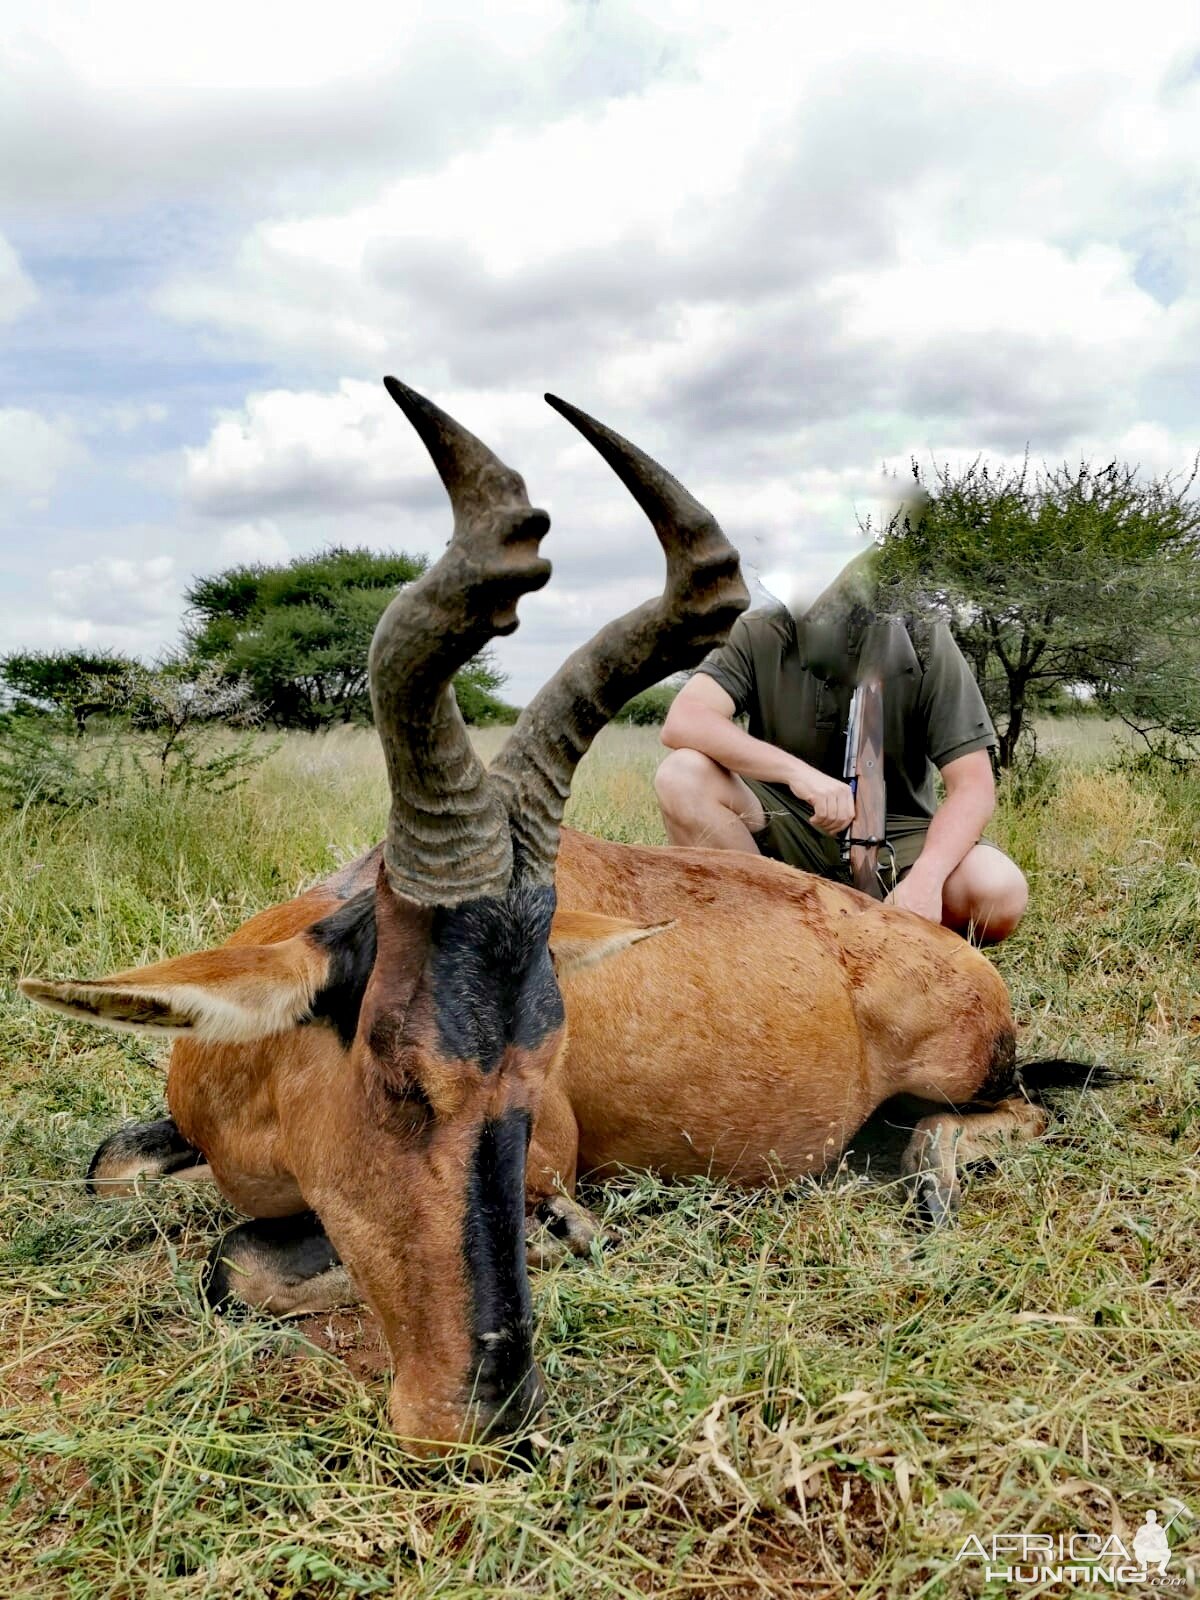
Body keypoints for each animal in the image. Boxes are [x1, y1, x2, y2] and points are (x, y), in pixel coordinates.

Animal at [25, 384, 1100, 1452]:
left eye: (544, 1071)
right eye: (399, 1071)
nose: (488, 1410)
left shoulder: (550, 1161)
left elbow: (237, 1261)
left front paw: (570, 1235)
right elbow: (115, 1172)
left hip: (966, 1069)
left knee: (1021, 1112)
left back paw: (929, 1183)